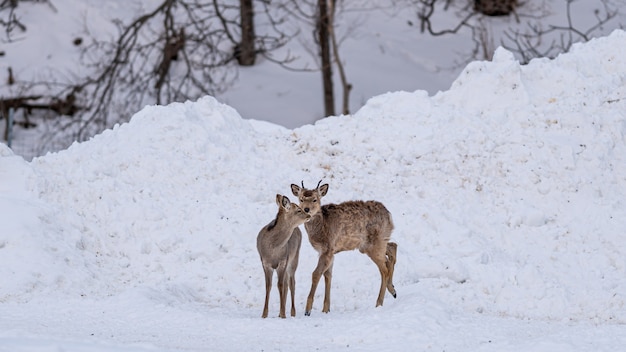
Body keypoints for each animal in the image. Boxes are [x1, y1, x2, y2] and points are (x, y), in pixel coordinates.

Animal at [288, 182, 394, 316]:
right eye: (301, 199)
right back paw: (393, 290)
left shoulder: (327, 249)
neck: (321, 228)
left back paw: (379, 302)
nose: (306, 209)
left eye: (315, 199)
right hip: (375, 242)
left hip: (374, 244)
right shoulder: (329, 252)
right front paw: (326, 309)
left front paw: (308, 310)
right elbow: (328, 275)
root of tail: (389, 215)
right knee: (392, 250)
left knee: (384, 269)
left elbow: (316, 274)